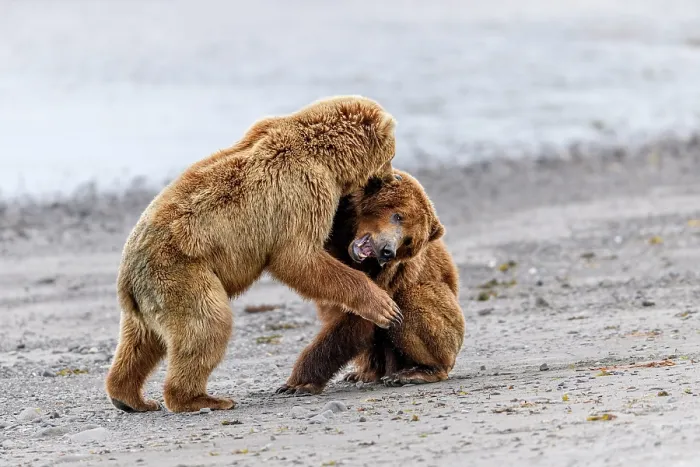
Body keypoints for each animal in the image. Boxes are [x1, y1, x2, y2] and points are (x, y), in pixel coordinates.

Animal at [105, 96, 404, 413]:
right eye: (391, 154)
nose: (394, 177)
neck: (328, 158)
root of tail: (128, 277)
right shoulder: (302, 190)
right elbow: (299, 257)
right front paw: (384, 306)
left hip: (148, 299)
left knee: (139, 343)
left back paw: (130, 397)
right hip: (181, 274)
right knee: (207, 324)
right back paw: (201, 398)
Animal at [276, 169, 465, 395]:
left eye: (408, 240)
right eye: (398, 215)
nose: (387, 250)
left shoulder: (391, 273)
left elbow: (359, 321)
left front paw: (298, 383)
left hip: (448, 322)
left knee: (412, 302)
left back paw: (414, 372)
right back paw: (364, 373)